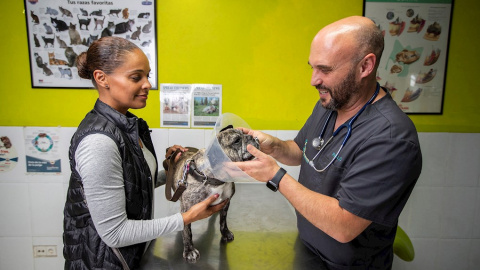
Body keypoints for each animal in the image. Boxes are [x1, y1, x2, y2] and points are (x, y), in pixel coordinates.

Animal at [167, 126, 260, 264]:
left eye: (244, 133)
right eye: (237, 141)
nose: (252, 137)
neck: (214, 177)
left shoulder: (226, 202)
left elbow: (223, 221)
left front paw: (225, 233)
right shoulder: (187, 209)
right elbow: (187, 231)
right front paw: (189, 250)